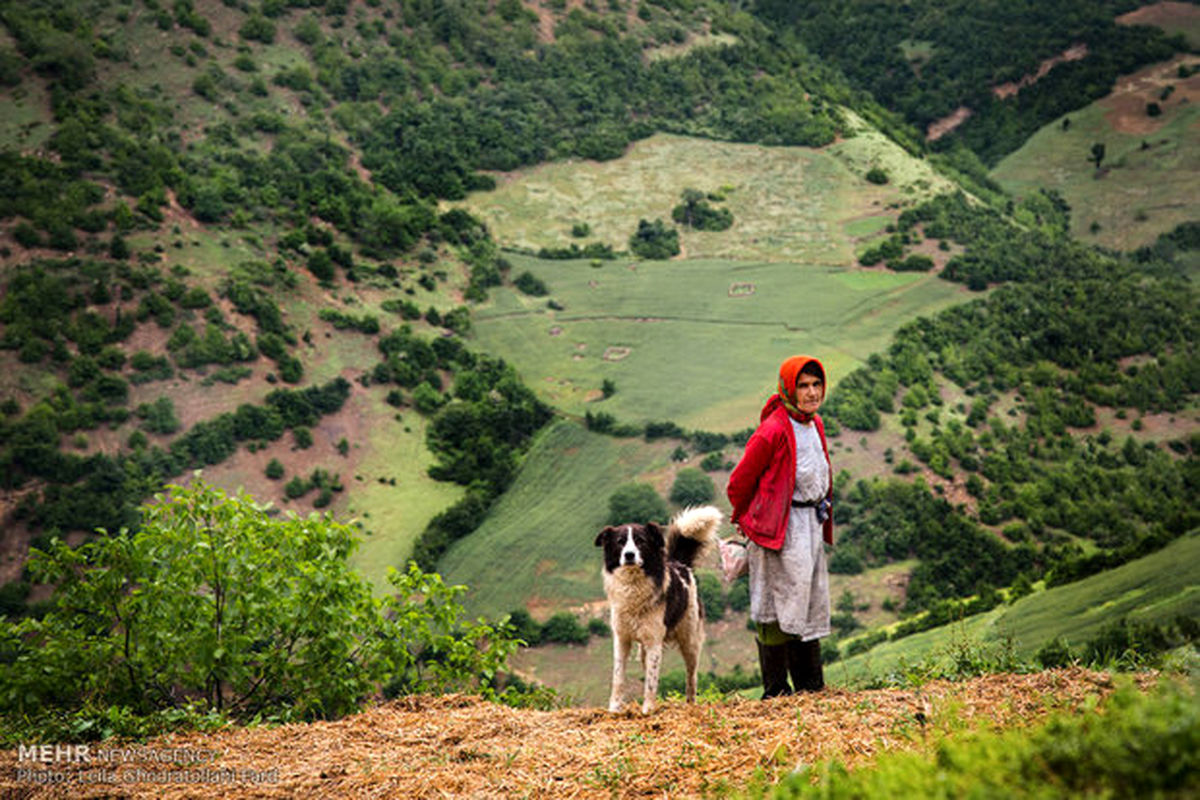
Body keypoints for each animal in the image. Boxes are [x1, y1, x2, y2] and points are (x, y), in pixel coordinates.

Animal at [592, 506, 720, 714]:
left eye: (640, 541)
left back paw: (690, 704)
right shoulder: (622, 639)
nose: (629, 555)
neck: (633, 584)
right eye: (620, 542)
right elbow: (619, 677)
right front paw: (615, 708)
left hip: (689, 640)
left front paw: (648, 709)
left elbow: (651, 681)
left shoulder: (654, 641)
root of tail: (680, 564)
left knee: (691, 676)